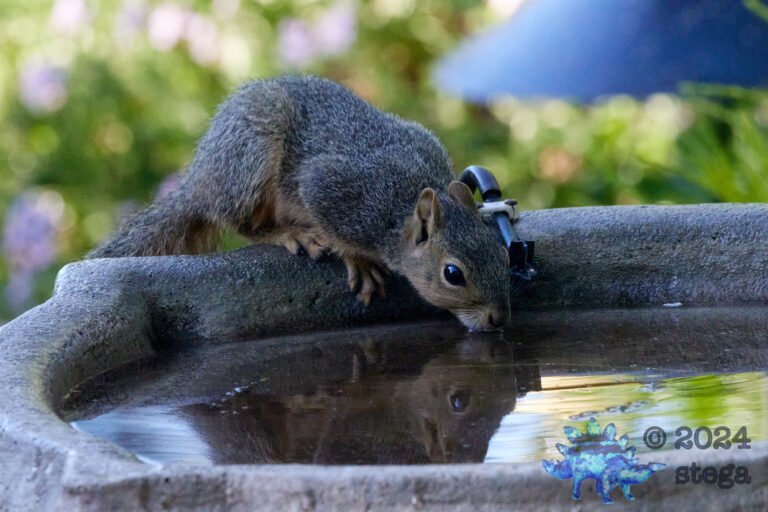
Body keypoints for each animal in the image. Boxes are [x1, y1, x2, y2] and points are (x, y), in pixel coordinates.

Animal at [89, 75, 511, 331]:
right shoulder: (334, 190)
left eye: (504, 254)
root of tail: (199, 181)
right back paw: (291, 234)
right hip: (251, 159)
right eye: (452, 274)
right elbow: (328, 215)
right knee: (242, 223)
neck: (402, 202)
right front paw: (357, 260)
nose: (497, 318)